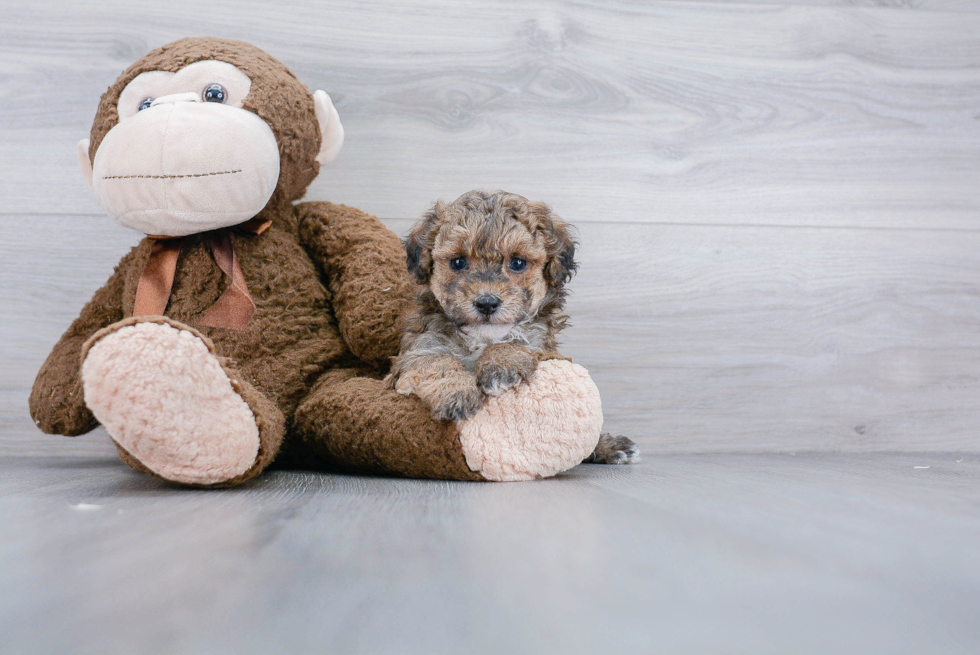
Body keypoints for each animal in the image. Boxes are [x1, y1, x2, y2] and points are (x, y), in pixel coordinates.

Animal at [386, 190, 640, 466]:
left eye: (517, 263)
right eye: (458, 262)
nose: (487, 303)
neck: (483, 338)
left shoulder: (543, 345)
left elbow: (517, 342)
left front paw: (501, 366)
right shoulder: (415, 353)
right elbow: (437, 362)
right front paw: (457, 393)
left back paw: (609, 446)